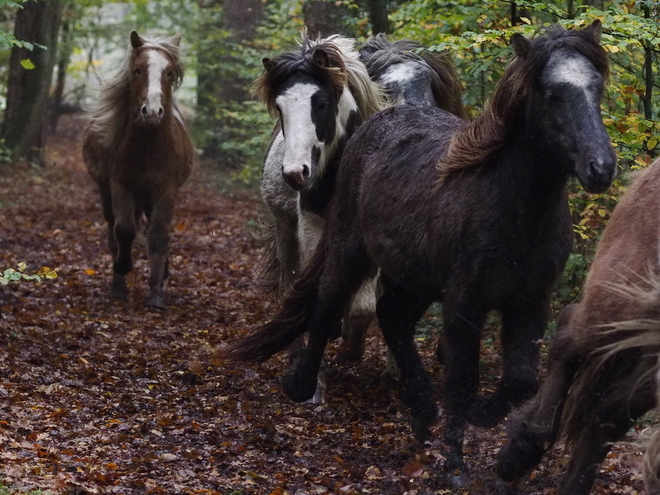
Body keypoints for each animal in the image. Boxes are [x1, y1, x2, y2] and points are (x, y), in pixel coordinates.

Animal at [81, 31, 192, 308]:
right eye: (138, 70)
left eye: (169, 72)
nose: (152, 112)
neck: (147, 147)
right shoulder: (121, 186)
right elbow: (124, 230)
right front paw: (122, 269)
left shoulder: (165, 191)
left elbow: (158, 236)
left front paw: (156, 294)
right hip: (106, 193)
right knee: (113, 232)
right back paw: (117, 284)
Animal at [223, 20, 620, 476]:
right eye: (552, 93)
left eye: (597, 87)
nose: (601, 166)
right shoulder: (462, 297)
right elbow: (461, 378)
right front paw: (455, 463)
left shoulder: (531, 297)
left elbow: (520, 378)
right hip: (338, 243)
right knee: (321, 298)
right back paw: (307, 381)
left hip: (413, 275)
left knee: (390, 315)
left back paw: (419, 401)